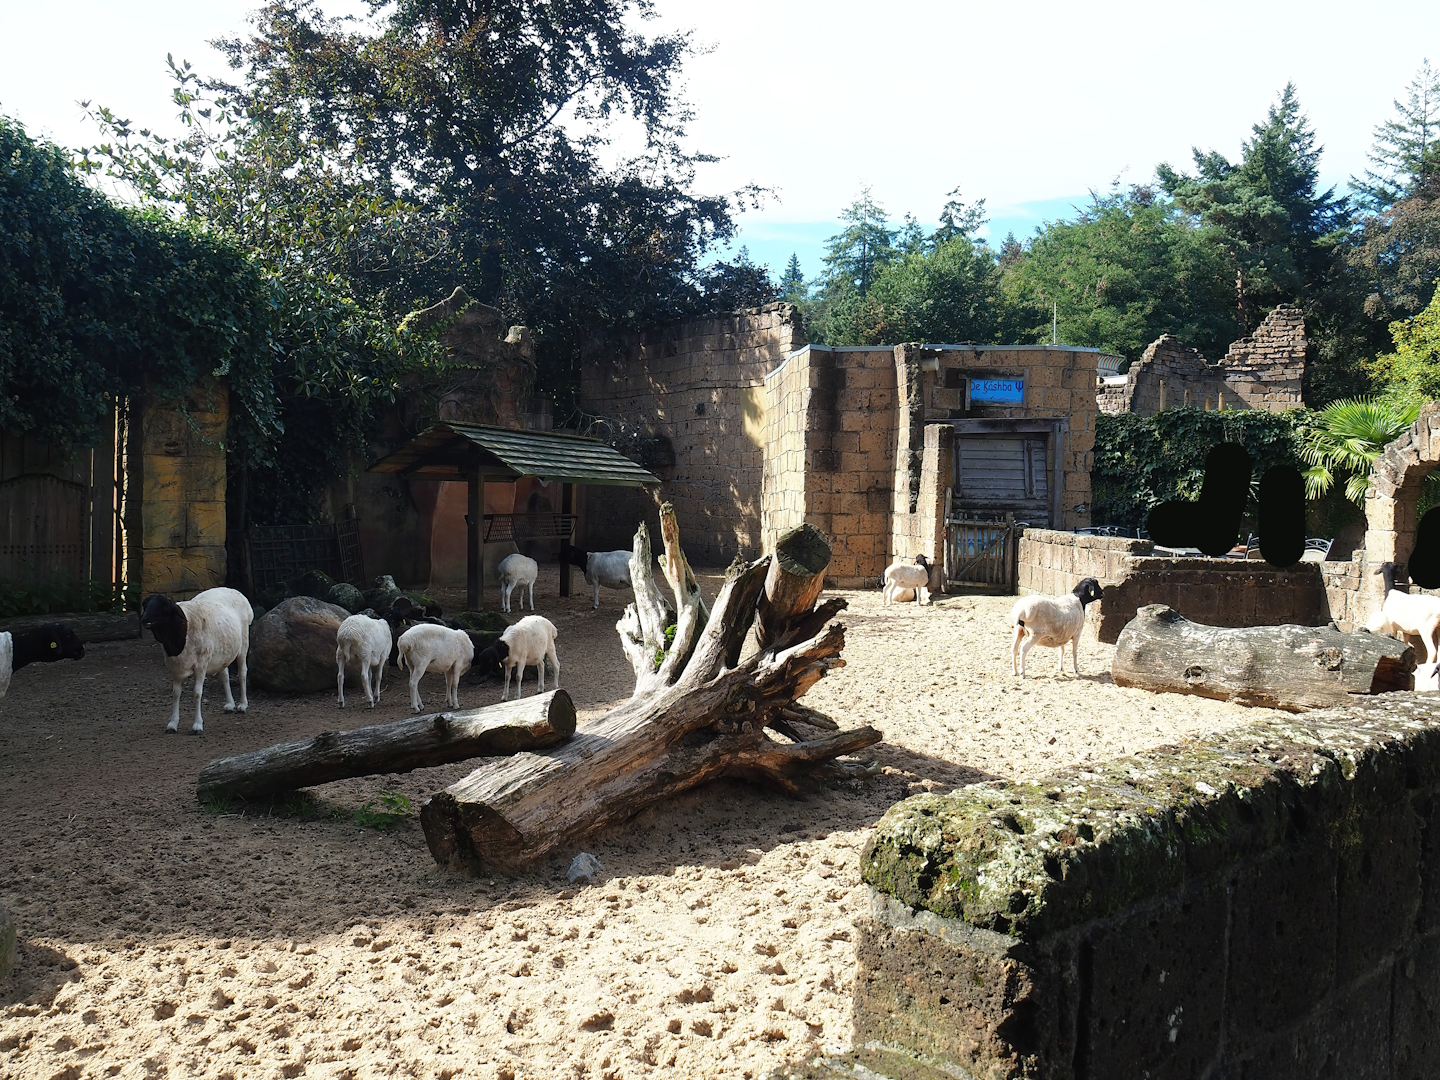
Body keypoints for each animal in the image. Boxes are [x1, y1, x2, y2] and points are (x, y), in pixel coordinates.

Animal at [140, 587, 254, 734]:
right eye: (145, 605)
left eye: (163, 606)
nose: (144, 619)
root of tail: (232, 590)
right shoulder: (175, 667)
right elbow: (176, 694)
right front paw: (172, 724)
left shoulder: (201, 664)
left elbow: (197, 693)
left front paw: (197, 725)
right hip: (222, 652)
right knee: (224, 675)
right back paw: (230, 704)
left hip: (243, 645)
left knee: (242, 673)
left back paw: (243, 704)